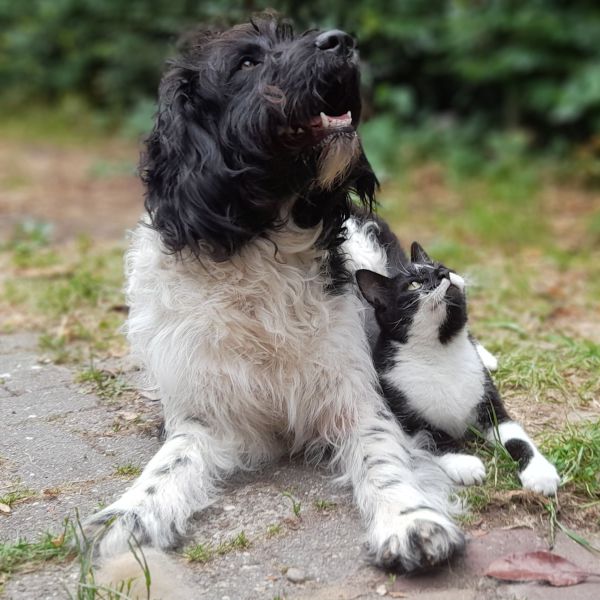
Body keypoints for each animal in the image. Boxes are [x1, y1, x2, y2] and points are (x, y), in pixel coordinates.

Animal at [88, 11, 464, 592]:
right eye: (247, 61)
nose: (342, 40)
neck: (260, 247)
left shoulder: (355, 394)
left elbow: (382, 455)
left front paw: (410, 520)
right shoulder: (205, 410)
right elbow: (171, 462)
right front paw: (133, 514)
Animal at [354, 241, 560, 494]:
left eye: (443, 266)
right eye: (414, 284)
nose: (444, 273)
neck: (442, 351)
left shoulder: (490, 403)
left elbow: (516, 435)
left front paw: (539, 471)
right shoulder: (401, 411)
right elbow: (433, 436)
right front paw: (464, 463)